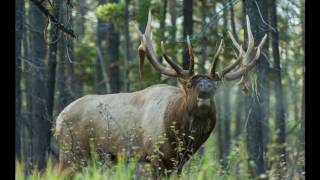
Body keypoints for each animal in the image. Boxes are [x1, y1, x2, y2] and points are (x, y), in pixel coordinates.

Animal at [55, 11, 268, 179]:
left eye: (215, 86)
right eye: (190, 84)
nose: (205, 89)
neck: (180, 135)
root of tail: (58, 118)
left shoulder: (178, 163)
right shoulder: (155, 154)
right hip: (70, 152)